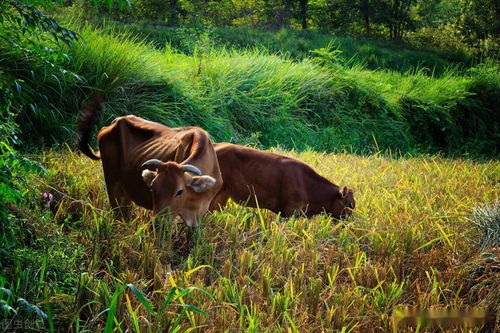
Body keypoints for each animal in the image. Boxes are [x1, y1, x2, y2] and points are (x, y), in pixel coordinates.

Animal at [76, 94, 221, 227]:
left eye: (180, 191)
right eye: (152, 187)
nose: (158, 223)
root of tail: (115, 121)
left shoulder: (199, 216)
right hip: (112, 184)